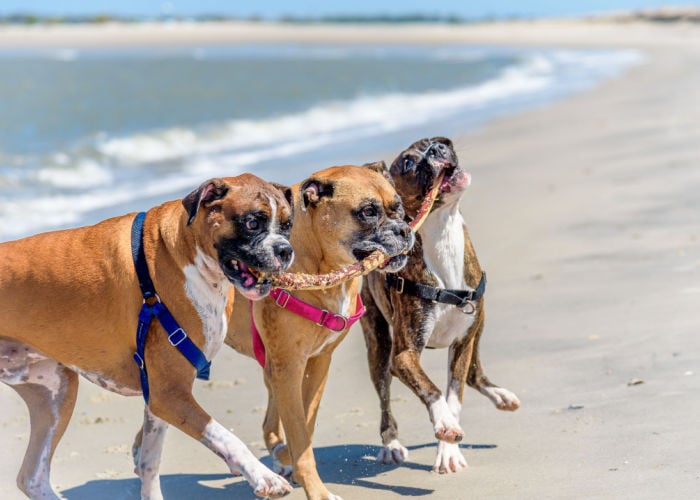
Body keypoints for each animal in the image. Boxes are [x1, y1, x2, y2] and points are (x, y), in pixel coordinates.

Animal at [0, 174, 296, 498]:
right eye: (252, 222)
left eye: (288, 225)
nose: (285, 250)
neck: (184, 250)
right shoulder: (168, 395)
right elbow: (224, 436)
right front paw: (262, 476)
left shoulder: (158, 396)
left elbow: (149, 462)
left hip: (55, 391)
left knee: (32, 477)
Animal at [226, 165, 416, 500]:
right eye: (368, 211)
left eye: (398, 207)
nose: (404, 230)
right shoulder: (289, 368)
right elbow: (300, 433)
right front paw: (317, 491)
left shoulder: (317, 363)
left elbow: (306, 423)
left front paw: (291, 460)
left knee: (270, 420)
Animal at [360, 137, 520, 472]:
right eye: (408, 162)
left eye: (435, 143)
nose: (436, 149)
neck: (441, 231)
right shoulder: (403, 356)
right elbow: (433, 391)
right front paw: (445, 427)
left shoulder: (462, 341)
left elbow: (454, 397)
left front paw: (448, 452)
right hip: (378, 346)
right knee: (384, 400)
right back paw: (391, 445)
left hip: (477, 327)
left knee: (472, 372)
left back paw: (501, 395)